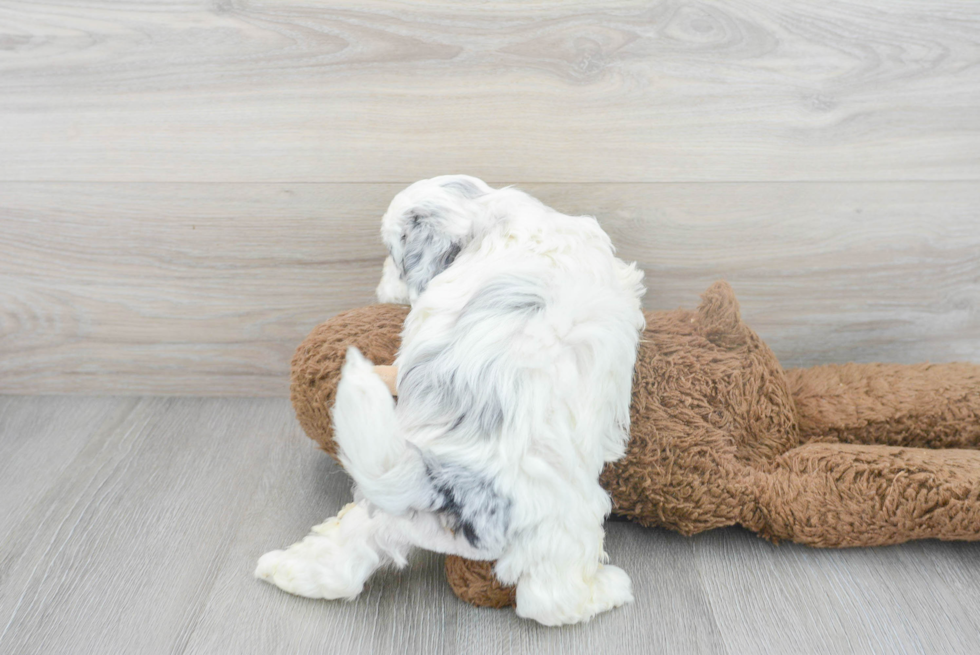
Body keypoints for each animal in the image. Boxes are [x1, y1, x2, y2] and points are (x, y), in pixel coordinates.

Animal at [256, 174, 648, 624]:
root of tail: (443, 484)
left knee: (342, 561)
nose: (381, 286)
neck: (490, 217)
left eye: (392, 255)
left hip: (380, 508)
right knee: (550, 599)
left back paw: (280, 569)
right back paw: (608, 590)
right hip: (562, 524)